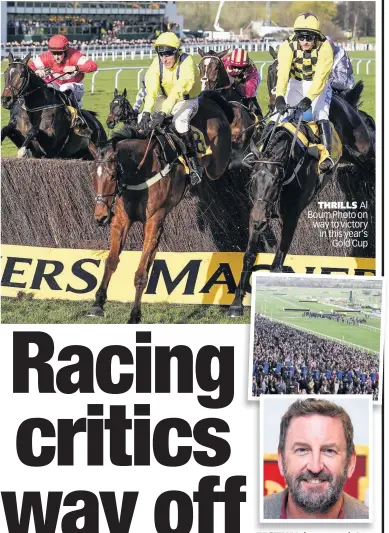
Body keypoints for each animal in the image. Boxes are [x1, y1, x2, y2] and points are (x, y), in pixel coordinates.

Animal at [89, 91, 232, 322]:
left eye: (112, 176)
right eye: (93, 176)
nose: (100, 216)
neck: (140, 172)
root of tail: (210, 101)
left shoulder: (153, 221)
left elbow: (141, 273)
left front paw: (134, 315)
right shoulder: (121, 219)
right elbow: (111, 260)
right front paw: (98, 302)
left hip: (218, 160)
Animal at [227, 113, 336, 316]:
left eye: (276, 180)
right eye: (252, 178)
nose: (261, 222)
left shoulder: (292, 217)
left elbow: (277, 262)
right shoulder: (256, 213)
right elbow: (249, 255)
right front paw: (236, 303)